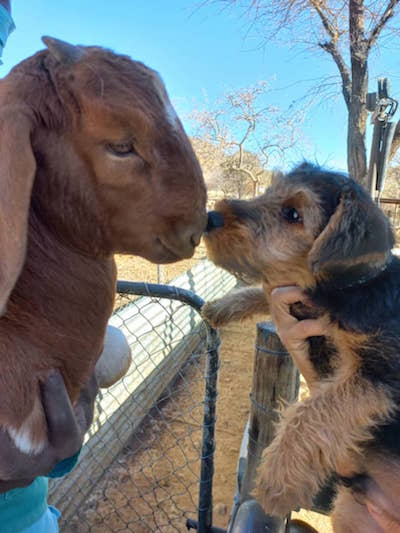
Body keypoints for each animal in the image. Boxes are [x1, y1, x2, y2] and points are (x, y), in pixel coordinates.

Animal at [203, 164, 400, 528]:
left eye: (293, 214)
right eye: (270, 191)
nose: (211, 217)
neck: (351, 287)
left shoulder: (381, 372)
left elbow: (312, 410)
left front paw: (276, 481)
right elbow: (268, 290)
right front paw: (223, 306)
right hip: (349, 511)